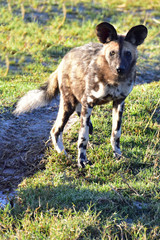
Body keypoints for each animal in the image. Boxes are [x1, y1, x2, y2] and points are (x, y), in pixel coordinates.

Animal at [14, 22, 148, 168]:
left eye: (128, 53)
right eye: (112, 53)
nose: (120, 68)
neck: (114, 79)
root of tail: (64, 59)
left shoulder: (119, 102)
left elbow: (116, 133)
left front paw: (118, 155)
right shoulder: (89, 102)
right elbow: (83, 136)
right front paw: (82, 160)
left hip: (78, 101)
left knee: (83, 119)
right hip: (69, 104)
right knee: (56, 130)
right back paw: (63, 155)